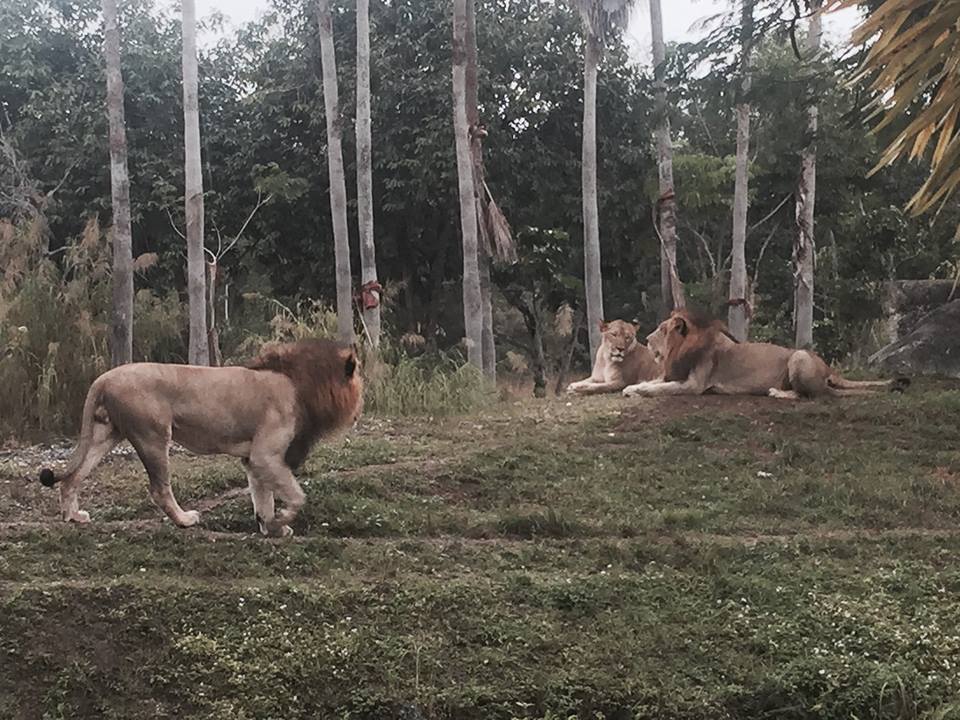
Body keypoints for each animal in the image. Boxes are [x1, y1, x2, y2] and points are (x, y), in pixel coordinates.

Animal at [38, 339, 363, 537]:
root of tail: (102, 378)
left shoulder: (253, 459)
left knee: (73, 476)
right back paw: (184, 520)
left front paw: (270, 526)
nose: (360, 410)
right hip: (153, 435)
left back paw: (73, 516)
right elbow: (296, 495)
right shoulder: (265, 455)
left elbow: (263, 497)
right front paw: (281, 521)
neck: (301, 383)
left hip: (105, 434)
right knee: (159, 488)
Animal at [621, 309, 907, 399]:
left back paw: (776, 392)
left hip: (798, 357)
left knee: (817, 395)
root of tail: (828, 367)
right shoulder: (674, 374)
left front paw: (640, 391)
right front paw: (632, 388)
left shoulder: (694, 385)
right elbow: (653, 381)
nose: (646, 339)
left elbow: (659, 388)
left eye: (661, 330)